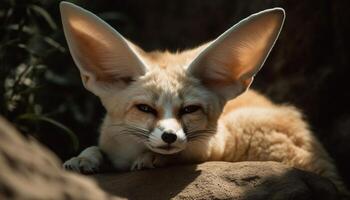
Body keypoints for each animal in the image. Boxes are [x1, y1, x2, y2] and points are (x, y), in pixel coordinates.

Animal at [59, 1, 344, 192]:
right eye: (145, 109)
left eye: (190, 110)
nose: (169, 136)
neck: (128, 154)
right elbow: (95, 149)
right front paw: (83, 158)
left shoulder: (215, 143)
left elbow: (185, 153)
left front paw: (155, 158)